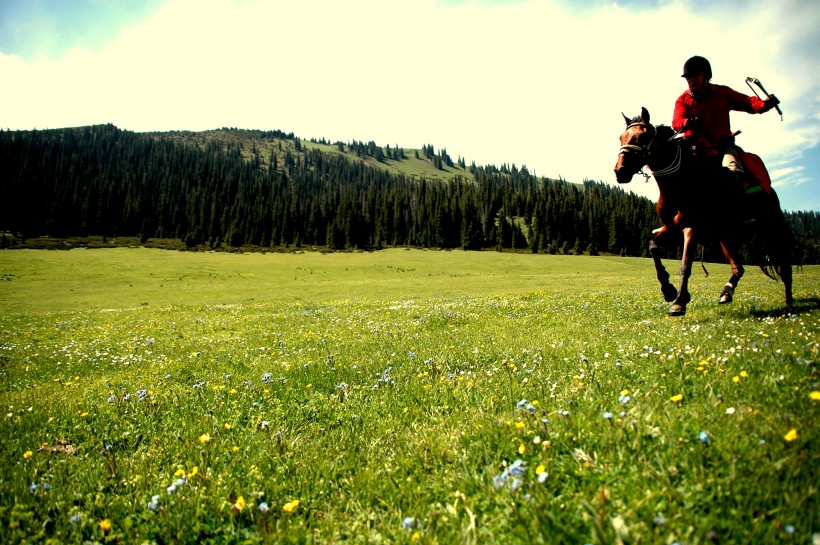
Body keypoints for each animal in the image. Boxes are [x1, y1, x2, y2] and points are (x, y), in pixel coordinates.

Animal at [612, 107, 792, 316]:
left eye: (642, 136)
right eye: (621, 137)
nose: (620, 171)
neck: (681, 183)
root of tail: (770, 191)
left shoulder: (692, 228)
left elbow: (685, 264)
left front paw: (680, 300)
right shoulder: (672, 226)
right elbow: (653, 246)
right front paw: (668, 290)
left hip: (773, 229)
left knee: (785, 267)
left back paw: (789, 304)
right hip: (726, 237)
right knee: (738, 268)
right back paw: (727, 292)